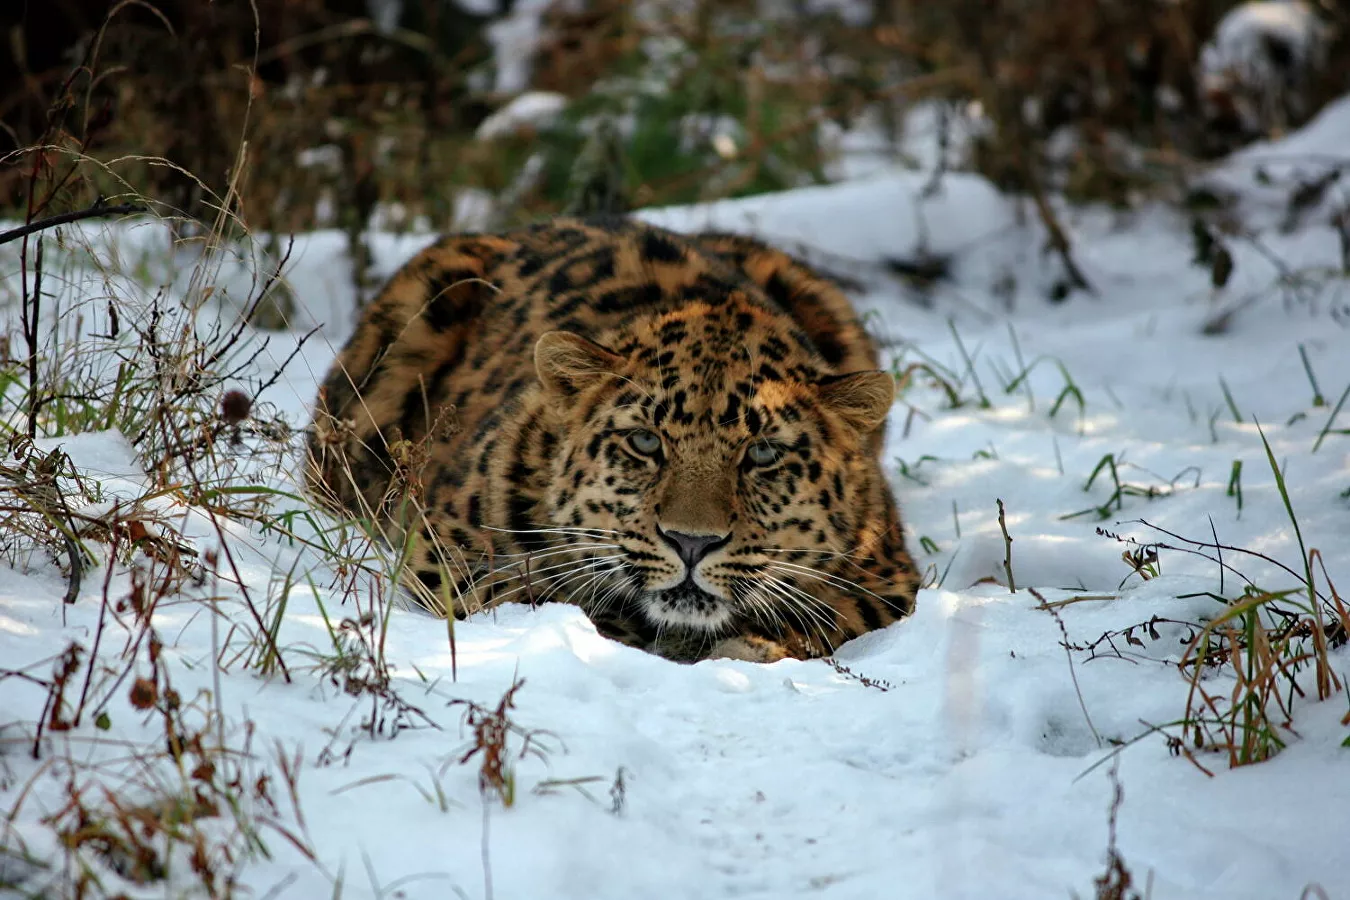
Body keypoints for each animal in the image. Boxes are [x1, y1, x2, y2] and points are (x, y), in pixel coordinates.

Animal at [306, 218, 918, 666]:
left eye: (762, 453)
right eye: (646, 442)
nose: (691, 543)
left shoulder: (889, 577)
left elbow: (830, 614)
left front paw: (752, 643)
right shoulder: (446, 544)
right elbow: (530, 595)